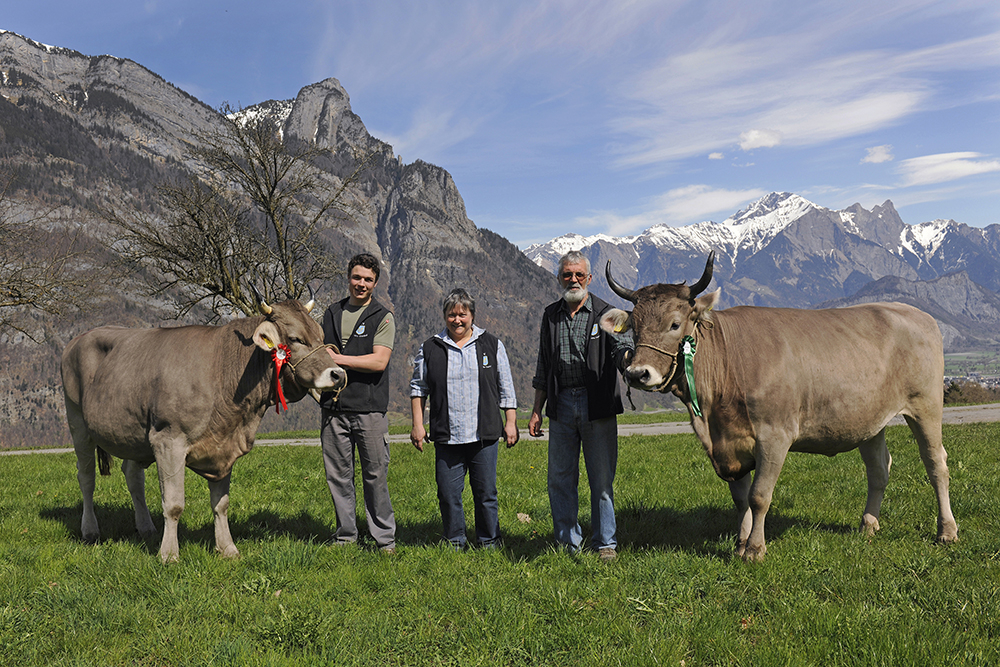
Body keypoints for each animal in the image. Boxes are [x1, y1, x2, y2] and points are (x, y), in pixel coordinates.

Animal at [63, 298, 348, 564]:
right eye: (295, 338)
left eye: (321, 336)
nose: (338, 374)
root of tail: (80, 337)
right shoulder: (168, 440)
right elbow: (173, 504)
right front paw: (169, 555)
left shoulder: (223, 444)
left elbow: (221, 504)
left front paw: (227, 548)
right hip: (78, 422)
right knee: (86, 478)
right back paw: (90, 530)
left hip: (133, 435)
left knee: (133, 477)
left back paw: (146, 528)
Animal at [596, 253, 956, 560]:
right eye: (634, 326)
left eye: (674, 324)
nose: (637, 373)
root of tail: (914, 312)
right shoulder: (729, 442)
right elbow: (740, 499)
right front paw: (740, 544)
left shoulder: (774, 435)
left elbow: (759, 495)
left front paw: (755, 549)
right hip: (869, 420)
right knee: (879, 469)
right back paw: (868, 524)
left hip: (926, 404)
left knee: (936, 463)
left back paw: (947, 531)